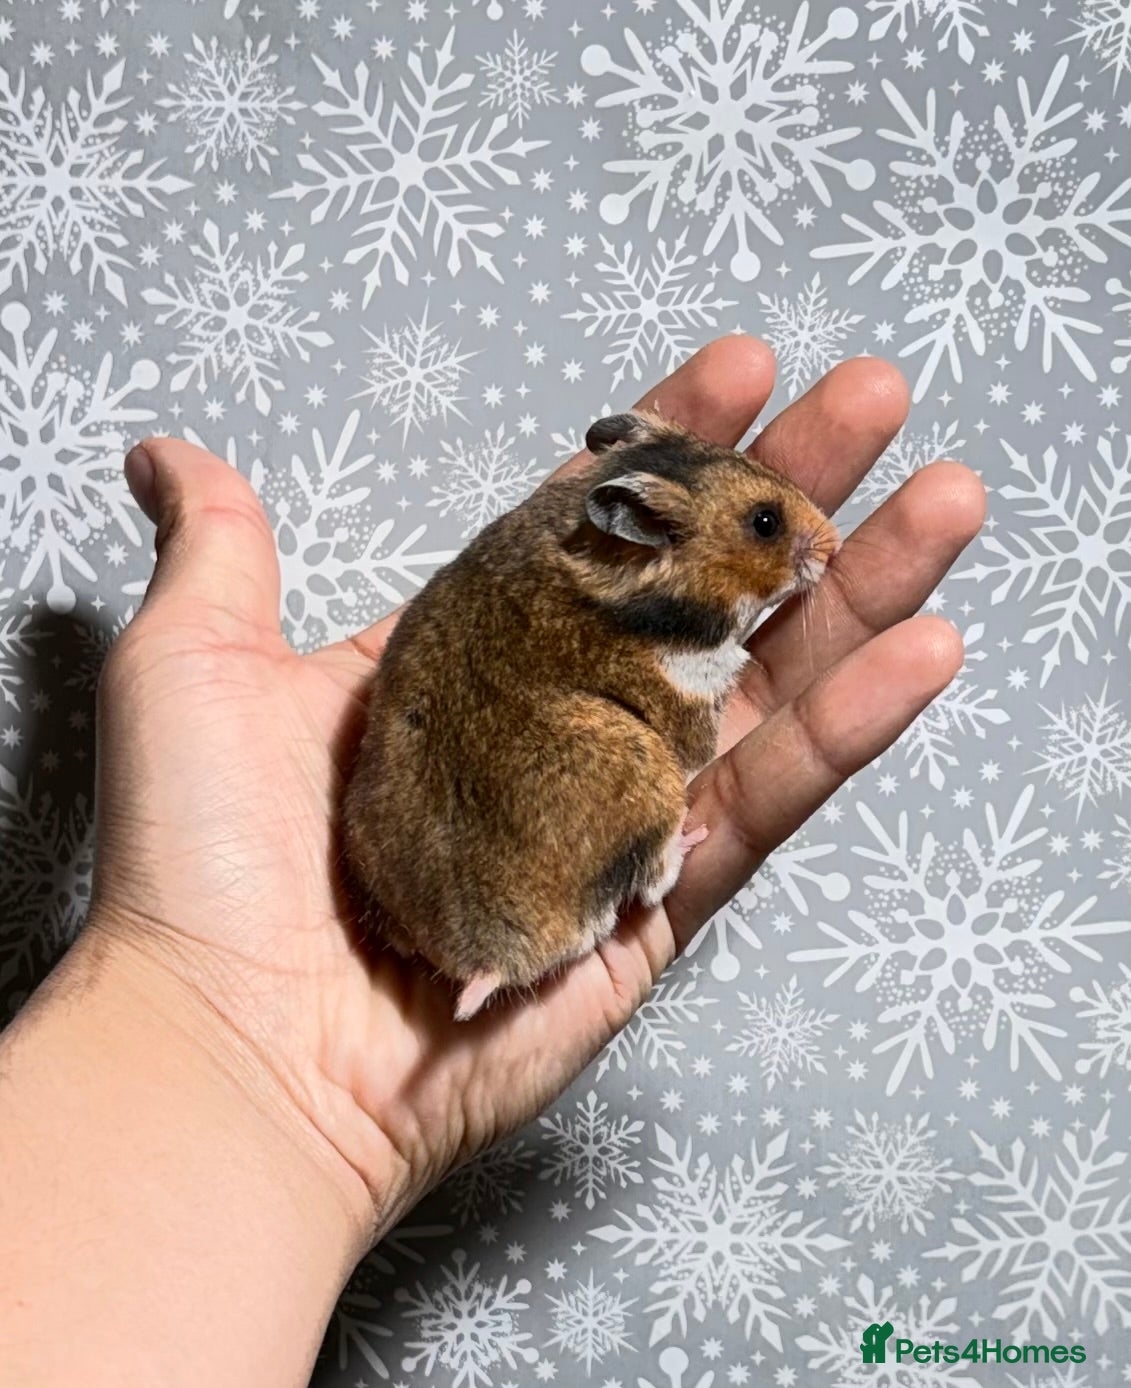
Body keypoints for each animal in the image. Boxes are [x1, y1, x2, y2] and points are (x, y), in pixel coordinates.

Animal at [342, 410, 840, 1020]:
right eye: (765, 522)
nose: (836, 543)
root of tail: (483, 958)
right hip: (646, 772)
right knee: (652, 882)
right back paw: (694, 835)